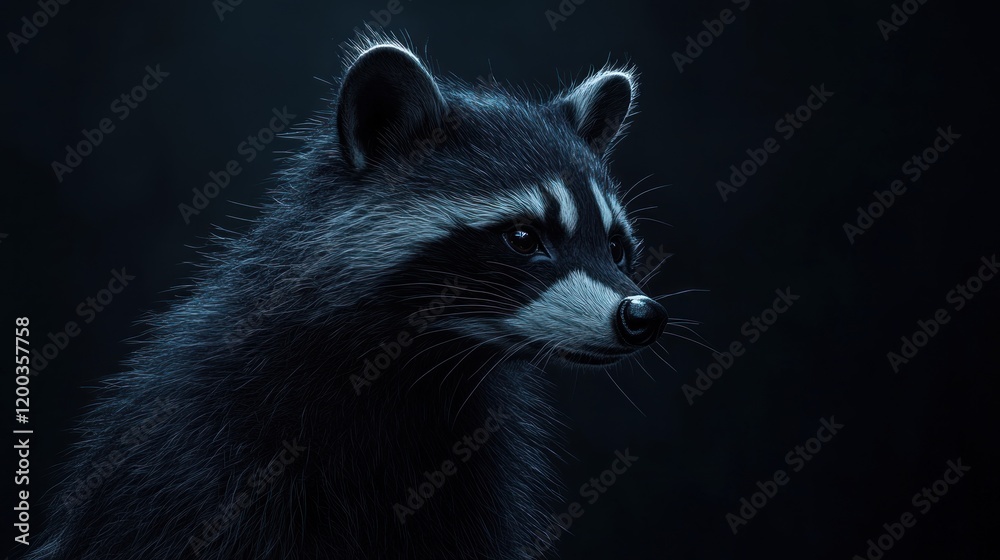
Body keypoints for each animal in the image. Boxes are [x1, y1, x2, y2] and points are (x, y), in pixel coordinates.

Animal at [29, 34, 669, 560]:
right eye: (523, 237)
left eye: (616, 247)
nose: (641, 315)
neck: (415, 372)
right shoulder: (203, 460)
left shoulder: (469, 475)